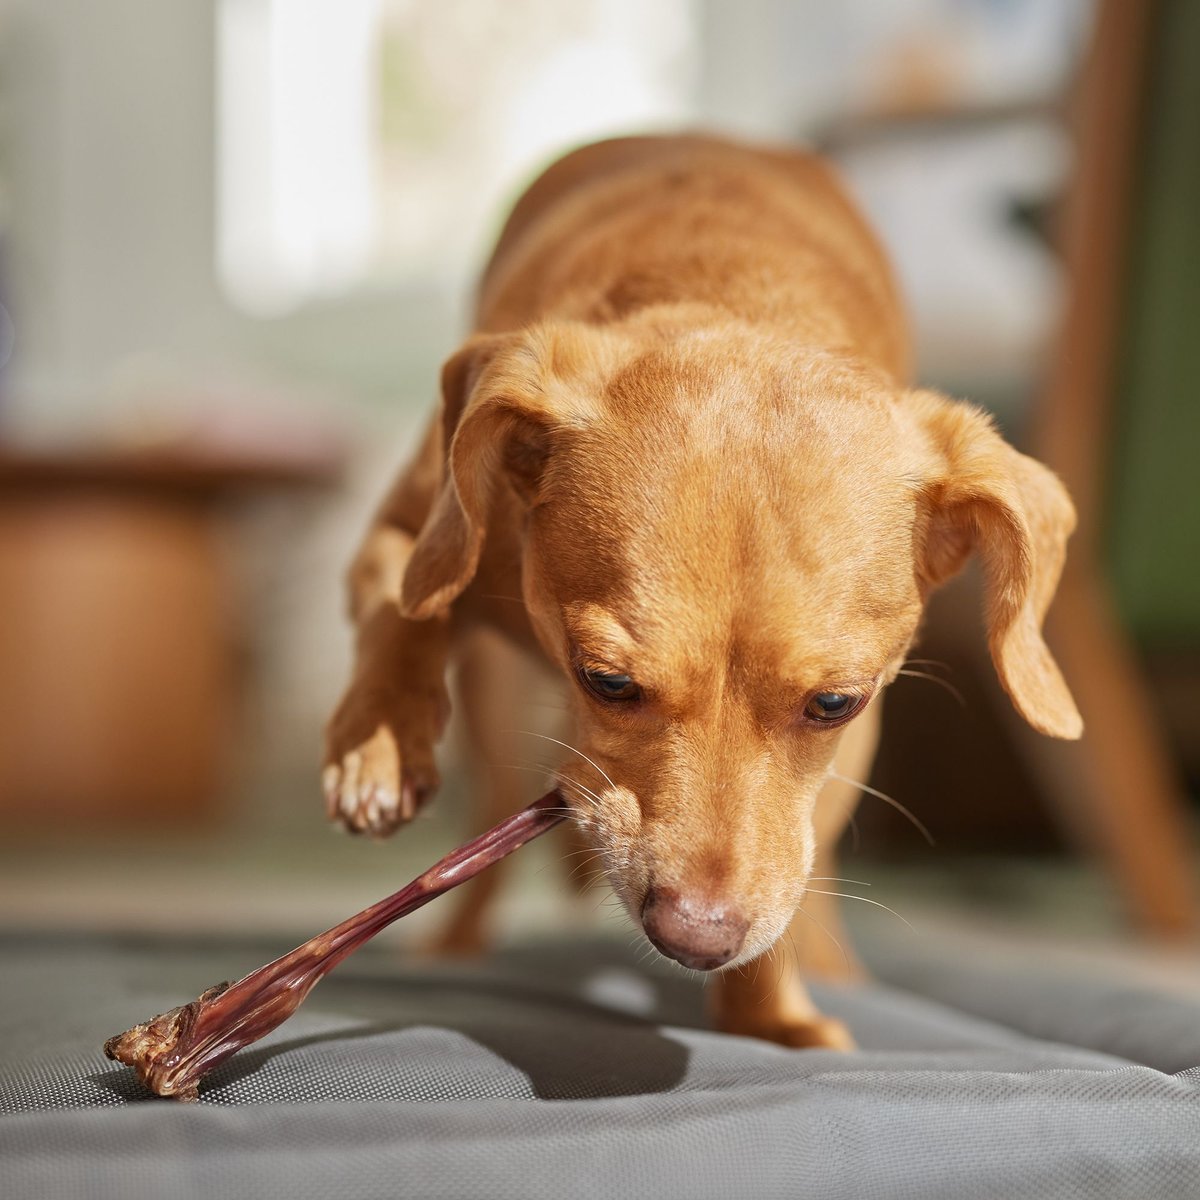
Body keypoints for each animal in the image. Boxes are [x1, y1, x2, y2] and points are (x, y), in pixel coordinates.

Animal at [319, 133, 1080, 1051]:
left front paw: (773, 1018)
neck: (732, 296)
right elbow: (405, 609)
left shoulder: (841, 761)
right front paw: (379, 746)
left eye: (835, 703)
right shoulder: (410, 535)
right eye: (606, 681)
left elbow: (789, 894)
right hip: (496, 718)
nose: (696, 936)